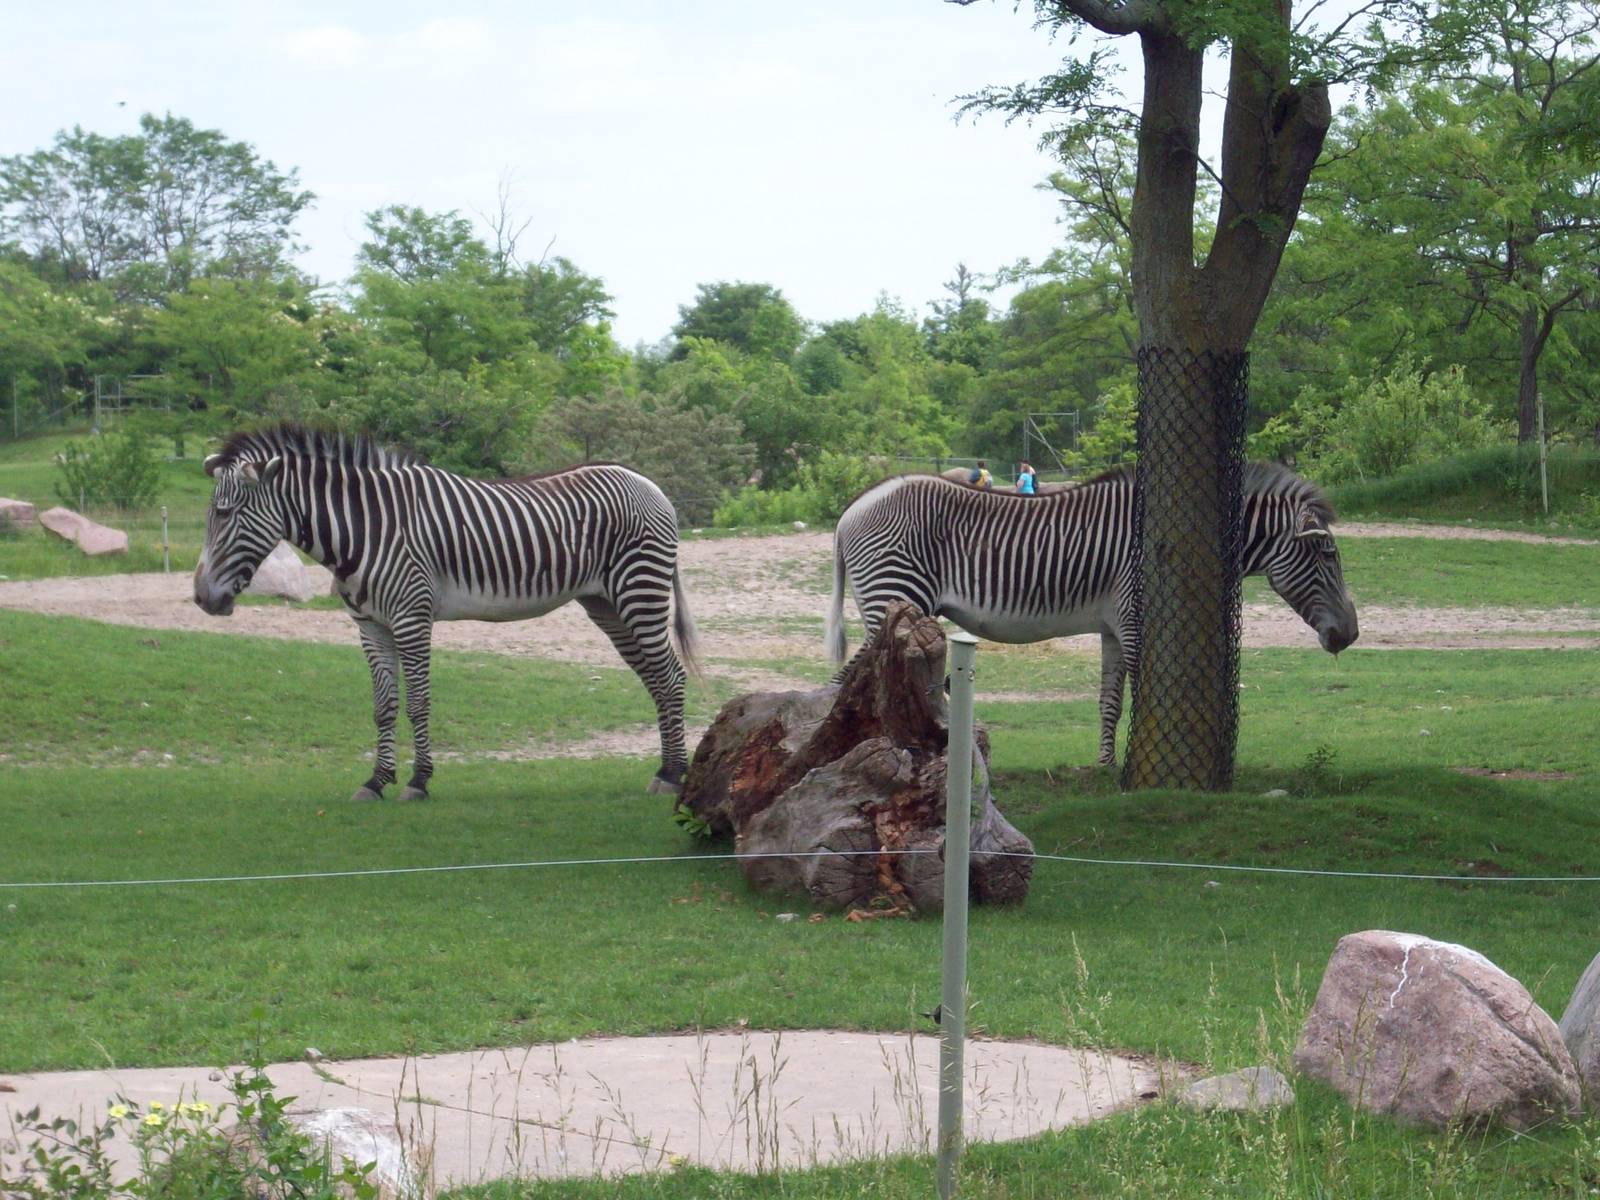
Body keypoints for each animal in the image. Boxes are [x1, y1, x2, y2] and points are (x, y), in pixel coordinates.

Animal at [193, 425, 700, 800]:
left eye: (227, 513)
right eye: (212, 514)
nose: (201, 598)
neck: (364, 529)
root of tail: (649, 483)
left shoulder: (411, 617)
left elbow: (417, 702)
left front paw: (418, 781)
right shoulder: (370, 625)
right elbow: (383, 705)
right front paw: (376, 781)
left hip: (639, 590)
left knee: (670, 675)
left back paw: (675, 774)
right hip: (607, 604)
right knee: (655, 679)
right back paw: (664, 768)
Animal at [826, 462, 1359, 766]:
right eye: (1328, 555)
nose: (1350, 635)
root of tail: (851, 509)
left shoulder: (1111, 626)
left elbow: (1110, 699)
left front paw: (1105, 764)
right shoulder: (1133, 615)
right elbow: (1144, 691)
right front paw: (1145, 762)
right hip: (897, 592)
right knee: (847, 682)